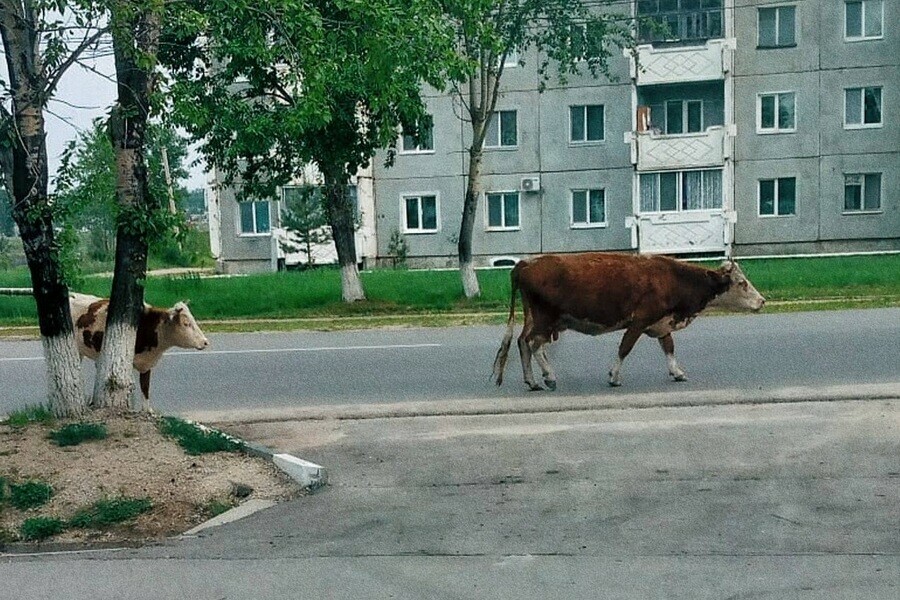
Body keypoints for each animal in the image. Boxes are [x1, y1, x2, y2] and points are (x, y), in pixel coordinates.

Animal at [70, 292, 209, 410]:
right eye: (186, 323)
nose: (205, 342)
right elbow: (129, 385)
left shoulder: (147, 364)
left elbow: (145, 387)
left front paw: (147, 411)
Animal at [492, 252, 768, 390]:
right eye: (742, 283)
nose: (762, 300)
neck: (672, 277)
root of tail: (526, 263)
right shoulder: (640, 320)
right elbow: (625, 348)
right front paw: (614, 376)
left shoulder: (661, 322)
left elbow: (669, 347)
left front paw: (677, 372)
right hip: (545, 319)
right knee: (534, 344)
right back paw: (548, 377)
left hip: (534, 317)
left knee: (523, 342)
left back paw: (532, 381)